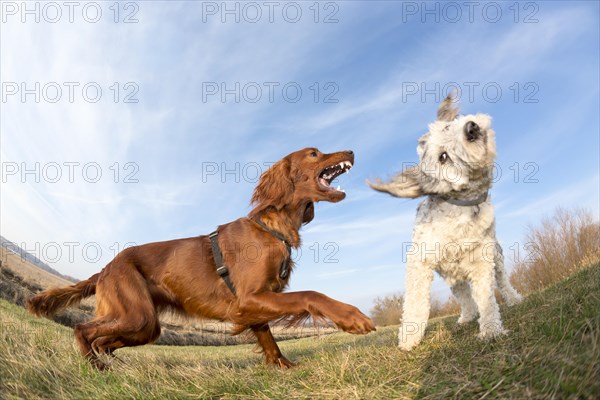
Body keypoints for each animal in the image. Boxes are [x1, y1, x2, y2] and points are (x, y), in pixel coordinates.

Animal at [30, 148, 376, 370]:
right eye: (314, 154)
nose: (351, 150)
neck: (271, 228)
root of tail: (104, 269)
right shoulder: (251, 297)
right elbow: (311, 294)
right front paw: (352, 317)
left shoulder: (254, 303)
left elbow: (269, 338)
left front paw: (283, 366)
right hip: (137, 315)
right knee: (83, 330)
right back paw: (96, 367)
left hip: (144, 325)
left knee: (104, 339)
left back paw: (113, 364)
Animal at [368, 95, 524, 352]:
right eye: (443, 157)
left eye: (448, 127)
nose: (471, 128)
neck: (460, 208)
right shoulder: (419, 261)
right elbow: (416, 302)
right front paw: (409, 338)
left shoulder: (482, 261)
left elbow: (487, 297)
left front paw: (491, 329)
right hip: (451, 276)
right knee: (464, 296)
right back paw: (467, 317)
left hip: (496, 257)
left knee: (501, 281)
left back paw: (513, 299)